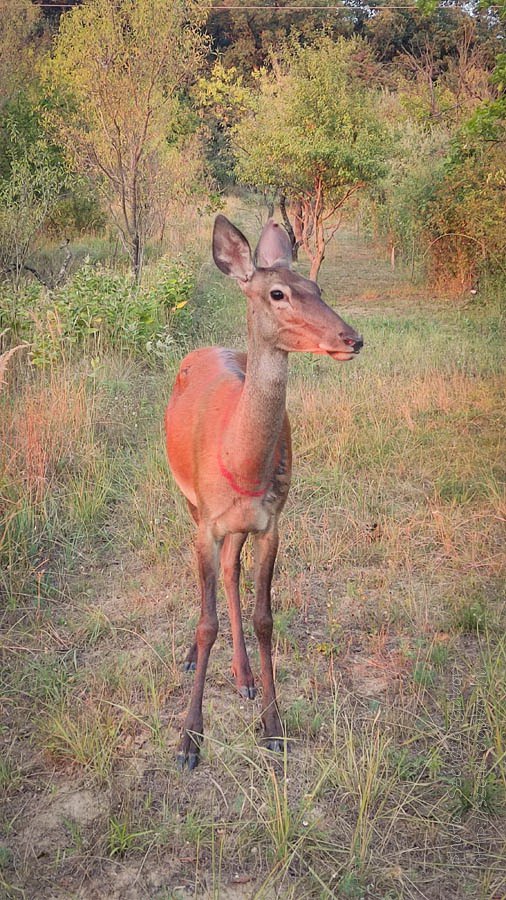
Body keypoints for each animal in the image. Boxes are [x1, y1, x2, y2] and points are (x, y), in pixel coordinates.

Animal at [165, 215, 363, 769]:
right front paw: (189, 739)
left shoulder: (271, 522)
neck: (242, 464)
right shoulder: (208, 523)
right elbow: (206, 622)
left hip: (239, 527)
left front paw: (273, 727)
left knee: (232, 571)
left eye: (317, 288)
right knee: (212, 576)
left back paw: (245, 676)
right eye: (277, 293)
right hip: (187, 501)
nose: (352, 338)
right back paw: (196, 660)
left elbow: (264, 619)